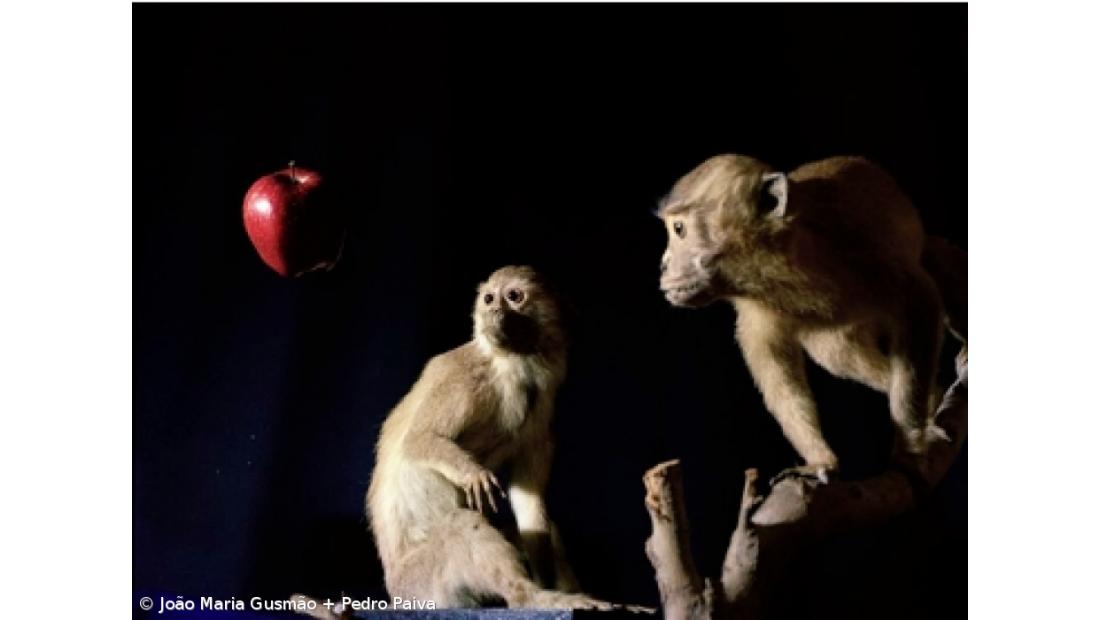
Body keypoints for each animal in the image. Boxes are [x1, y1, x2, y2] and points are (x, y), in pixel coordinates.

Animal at [366, 265, 612, 610]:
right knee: (462, 526)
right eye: (489, 298)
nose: (494, 311)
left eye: (514, 296)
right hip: (421, 586)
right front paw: (473, 474)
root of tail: (396, 593)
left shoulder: (541, 417)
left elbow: (529, 503)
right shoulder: (462, 378)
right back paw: (532, 597)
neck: (513, 364)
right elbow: (419, 439)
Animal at [656, 154, 966, 483]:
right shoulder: (758, 312)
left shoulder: (860, 252)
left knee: (933, 256)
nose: (663, 265)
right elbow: (777, 371)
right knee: (837, 354)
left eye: (679, 229)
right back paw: (933, 396)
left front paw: (910, 442)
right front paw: (821, 461)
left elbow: (919, 301)